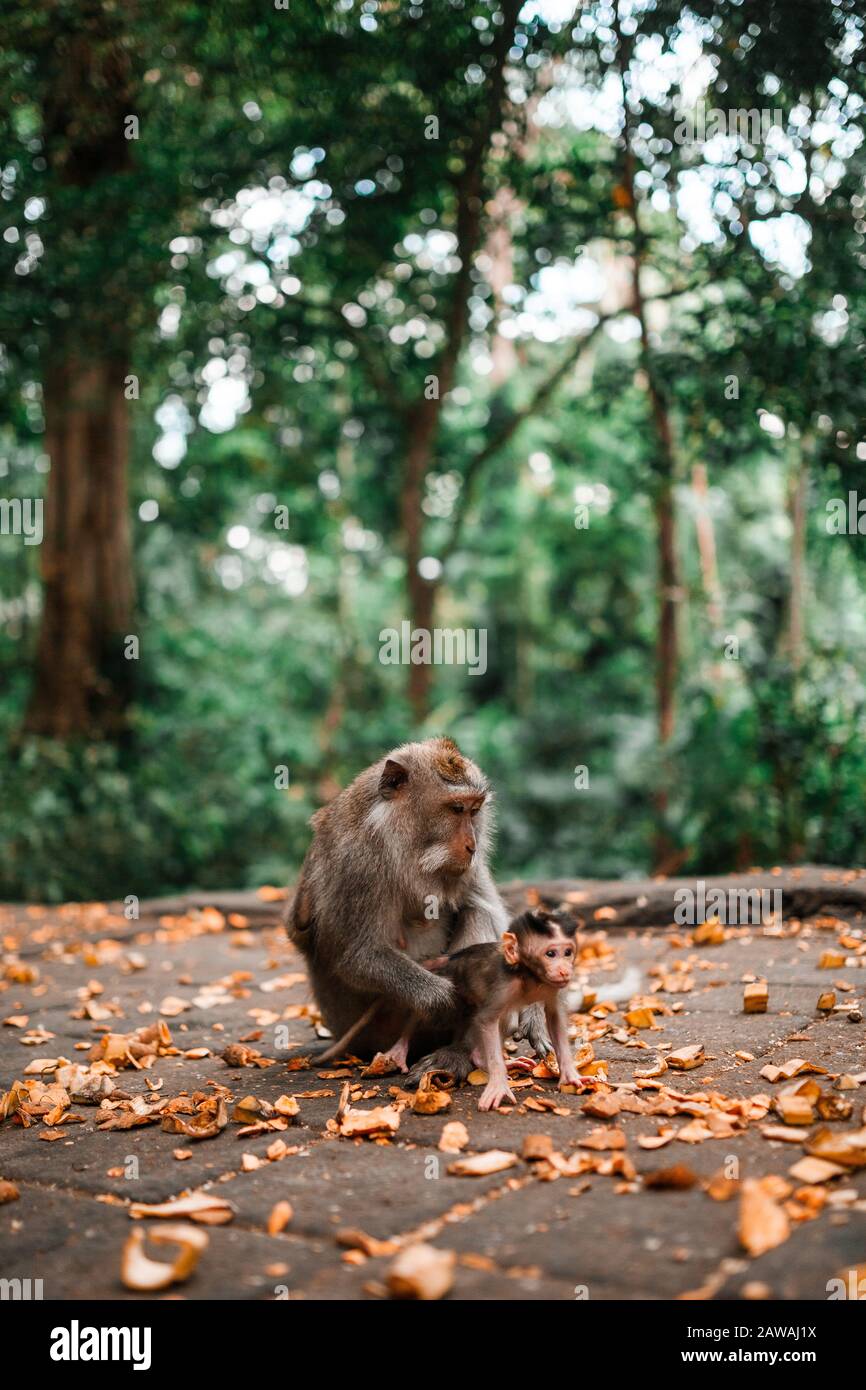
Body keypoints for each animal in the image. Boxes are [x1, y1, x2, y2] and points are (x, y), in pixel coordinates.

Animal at [287, 733, 553, 1078]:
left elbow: (495, 918)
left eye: (474, 810)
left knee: (477, 911)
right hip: (376, 1032)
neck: (407, 848)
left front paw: (533, 1011)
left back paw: (459, 1052)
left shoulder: (470, 868)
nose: (472, 845)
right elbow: (357, 955)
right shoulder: (356, 863)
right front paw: (446, 1000)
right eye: (456, 809)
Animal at [372, 906, 583, 1112]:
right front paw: (498, 1084)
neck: (529, 976)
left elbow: (555, 1018)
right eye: (550, 954)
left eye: (568, 952)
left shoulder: (550, 987)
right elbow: (486, 1020)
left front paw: (570, 1075)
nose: (565, 970)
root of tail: (451, 958)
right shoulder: (504, 987)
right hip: (449, 979)